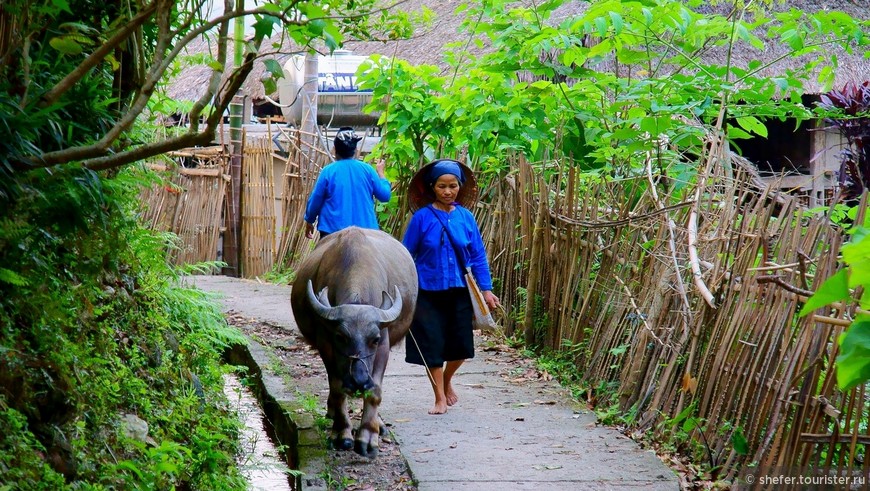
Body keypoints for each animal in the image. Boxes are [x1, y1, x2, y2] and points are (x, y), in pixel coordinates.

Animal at [290, 227, 418, 458]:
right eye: (341, 337)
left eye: (374, 339)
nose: (358, 381)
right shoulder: (326, 345)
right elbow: (337, 388)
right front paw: (342, 434)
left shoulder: (383, 346)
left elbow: (375, 391)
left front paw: (368, 437)